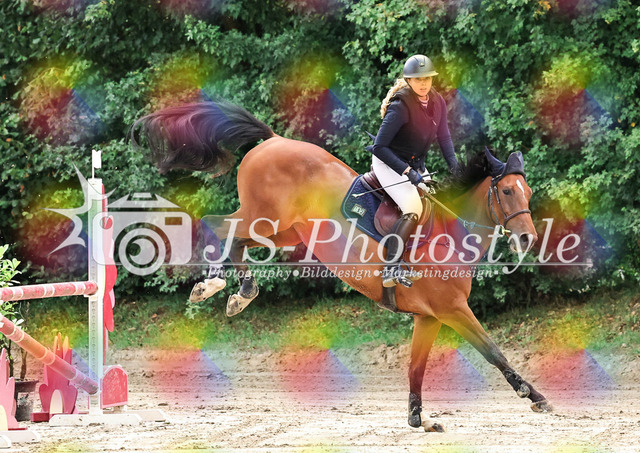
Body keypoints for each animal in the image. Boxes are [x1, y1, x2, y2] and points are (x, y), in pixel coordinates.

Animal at [132, 100, 552, 431]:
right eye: (508, 191)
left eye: (528, 191)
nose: (528, 239)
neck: (450, 232)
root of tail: (273, 139)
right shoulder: (453, 310)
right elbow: (493, 352)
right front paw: (535, 397)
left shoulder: (429, 317)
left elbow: (416, 366)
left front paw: (419, 419)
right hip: (263, 217)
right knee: (221, 227)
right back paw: (217, 287)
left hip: (284, 232)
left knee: (237, 240)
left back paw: (240, 294)